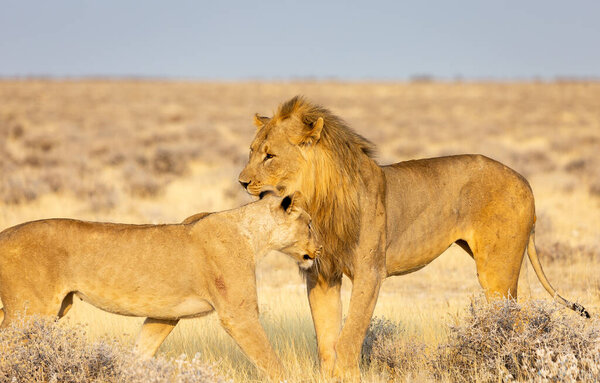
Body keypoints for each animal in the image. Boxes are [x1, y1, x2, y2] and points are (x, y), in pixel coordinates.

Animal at [0, 190, 322, 382]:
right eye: (308, 224)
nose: (318, 249)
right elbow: (269, 359)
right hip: (32, 311)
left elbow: (141, 352)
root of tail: (3, 234)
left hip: (53, 307)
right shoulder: (239, 314)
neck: (253, 234)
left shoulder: (164, 314)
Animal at [237, 97, 588, 380]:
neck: (316, 198)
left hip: (496, 270)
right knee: (527, 314)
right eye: (251, 151)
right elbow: (326, 339)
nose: (242, 182)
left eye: (269, 156)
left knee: (508, 319)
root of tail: (524, 180)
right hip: (514, 264)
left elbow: (349, 337)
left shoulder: (370, 272)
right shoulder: (321, 274)